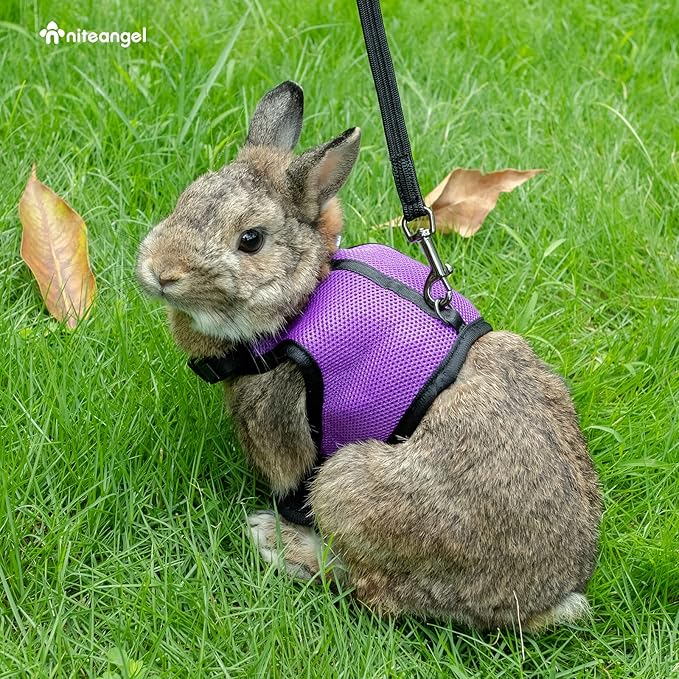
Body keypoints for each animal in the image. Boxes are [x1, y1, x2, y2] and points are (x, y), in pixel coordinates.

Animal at [136, 81, 602, 631]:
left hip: (346, 485)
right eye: (186, 197)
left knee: (369, 588)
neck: (302, 300)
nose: (160, 271)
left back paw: (274, 541)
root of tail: (546, 598)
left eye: (250, 240)